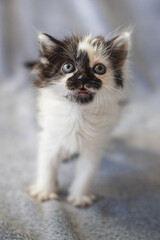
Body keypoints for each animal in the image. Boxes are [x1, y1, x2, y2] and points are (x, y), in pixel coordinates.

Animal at [29, 32, 130, 206]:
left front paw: (80, 197)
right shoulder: (50, 137)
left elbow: (86, 171)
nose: (83, 78)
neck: (77, 112)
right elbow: (47, 164)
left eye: (99, 69)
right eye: (68, 67)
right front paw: (45, 191)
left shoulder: (93, 144)